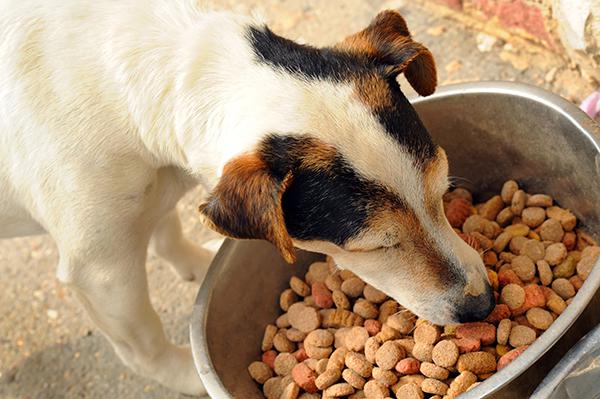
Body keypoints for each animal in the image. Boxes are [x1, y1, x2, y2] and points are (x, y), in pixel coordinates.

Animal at [1, 0, 492, 394]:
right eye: (375, 247)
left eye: (442, 194)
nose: (483, 305)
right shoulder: (101, 271)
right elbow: (145, 343)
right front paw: (188, 378)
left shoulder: (146, 193)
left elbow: (165, 231)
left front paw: (193, 263)